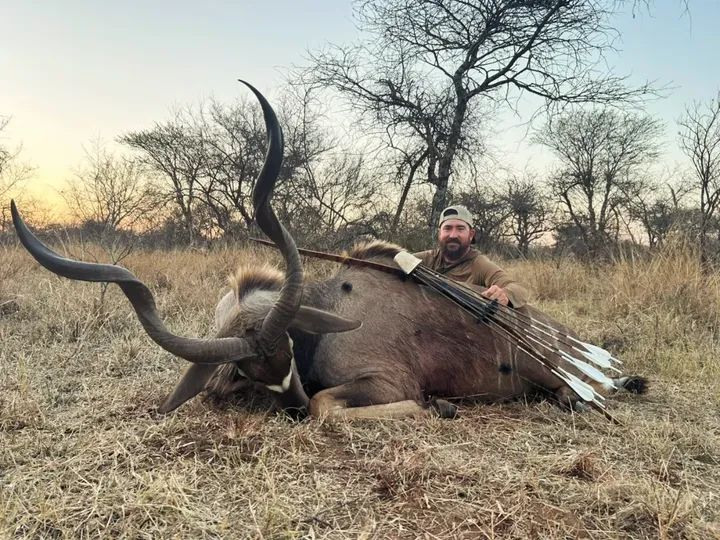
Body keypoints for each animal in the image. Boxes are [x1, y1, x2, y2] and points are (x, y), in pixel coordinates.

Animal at [11, 82, 645, 420]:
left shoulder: (386, 384)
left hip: (560, 385)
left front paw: (438, 407)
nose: (289, 403)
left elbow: (328, 409)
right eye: (250, 374)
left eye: (289, 350)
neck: (334, 308)